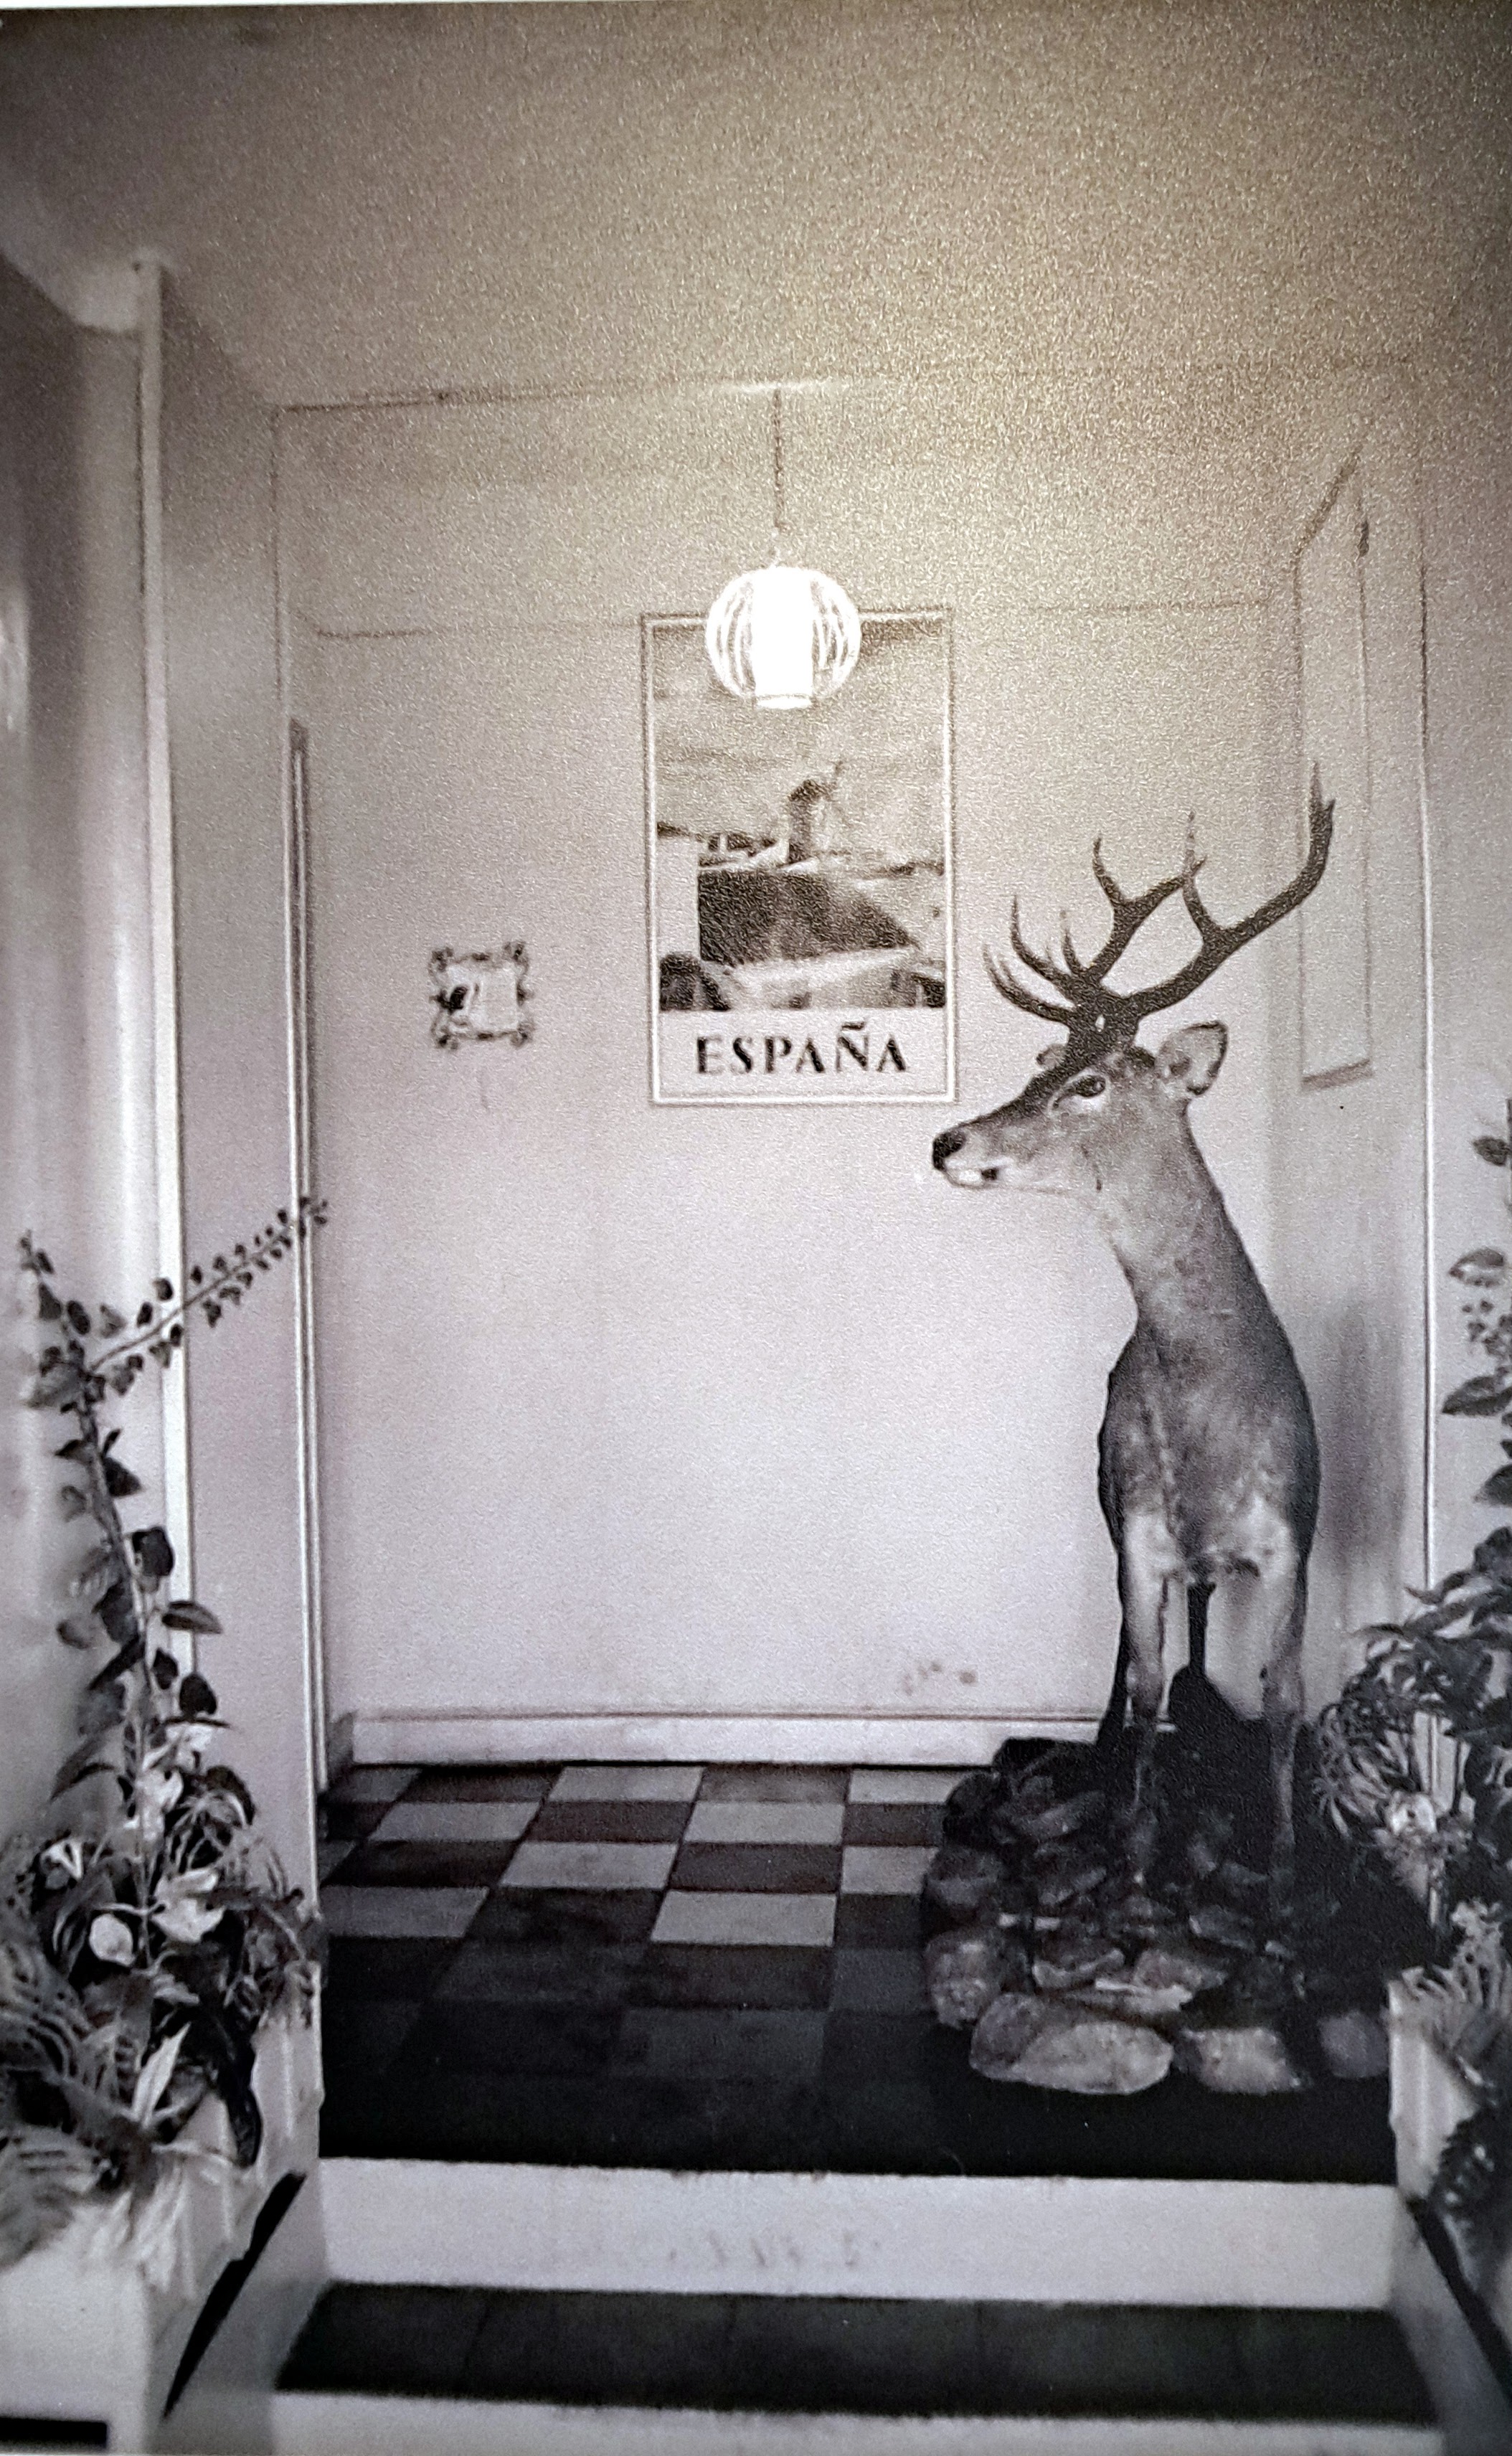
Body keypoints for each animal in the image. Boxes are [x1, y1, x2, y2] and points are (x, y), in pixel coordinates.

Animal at [932, 776, 1333, 1915]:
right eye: (1044, 1064)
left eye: (1093, 1082)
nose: (947, 1140)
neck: (1211, 1431)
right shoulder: (1140, 1534)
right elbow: (1146, 1679)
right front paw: (1135, 1857)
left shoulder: (1290, 1536)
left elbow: (1282, 1697)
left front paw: (1283, 1881)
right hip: (1104, 1498)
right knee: (1136, 1666)